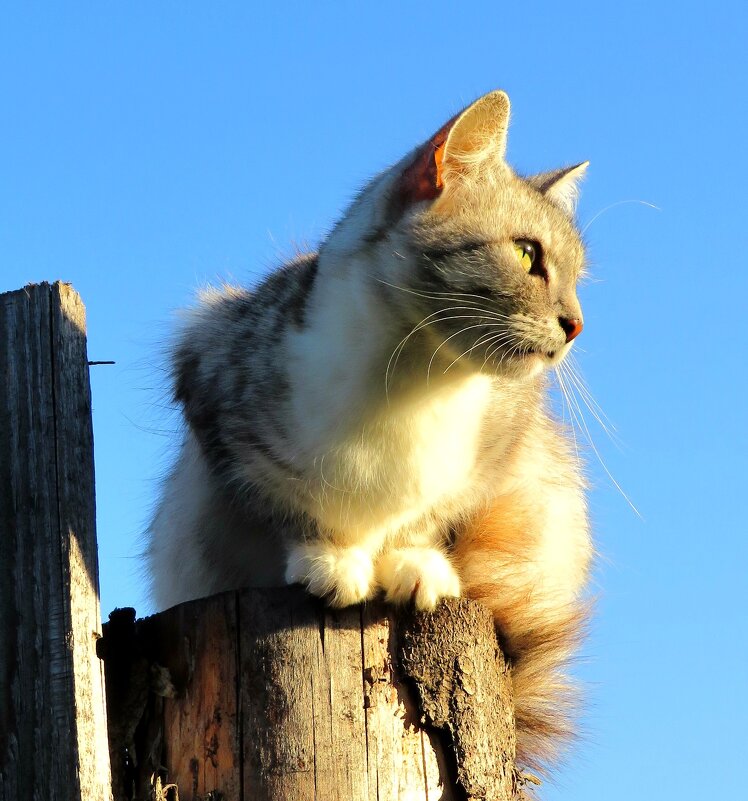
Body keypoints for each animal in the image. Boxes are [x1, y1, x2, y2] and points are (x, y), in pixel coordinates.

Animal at [146, 89, 592, 768]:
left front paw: (413, 562)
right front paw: (330, 558)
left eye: (577, 277)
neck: (415, 384)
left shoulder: (503, 447)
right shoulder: (210, 378)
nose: (576, 323)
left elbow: (431, 515)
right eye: (526, 254)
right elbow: (283, 502)